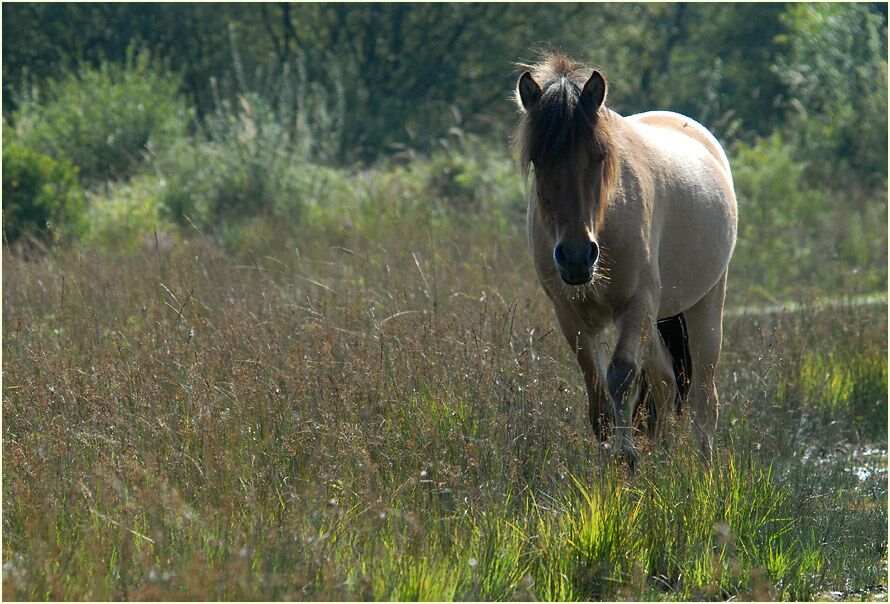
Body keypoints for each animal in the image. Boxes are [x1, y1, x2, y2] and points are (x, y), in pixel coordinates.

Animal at [512, 54, 736, 464]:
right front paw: (612, 461)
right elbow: (598, 397)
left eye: (599, 156)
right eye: (538, 159)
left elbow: (620, 376)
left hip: (706, 304)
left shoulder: (636, 307)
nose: (576, 257)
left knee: (704, 400)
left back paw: (704, 469)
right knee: (665, 382)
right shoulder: (571, 316)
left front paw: (626, 456)